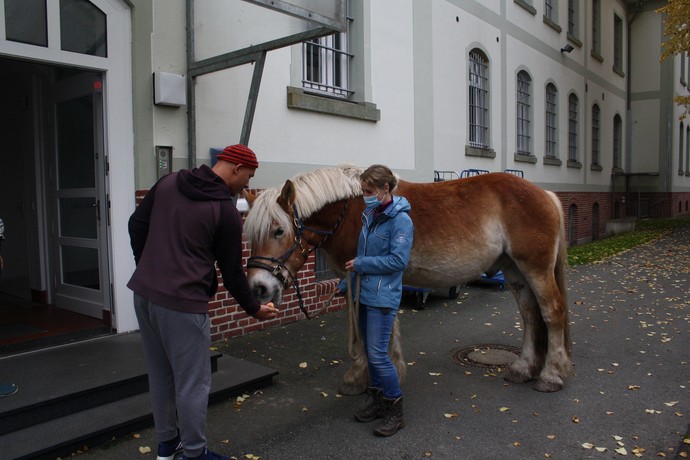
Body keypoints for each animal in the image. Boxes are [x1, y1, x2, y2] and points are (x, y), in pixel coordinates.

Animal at [245, 164, 568, 394]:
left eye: (278, 230)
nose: (258, 287)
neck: (354, 211)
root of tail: (546, 194)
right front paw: (368, 376)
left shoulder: (365, 274)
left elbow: (368, 326)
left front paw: (370, 376)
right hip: (514, 270)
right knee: (530, 315)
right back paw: (524, 368)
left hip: (535, 269)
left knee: (552, 312)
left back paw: (551, 375)